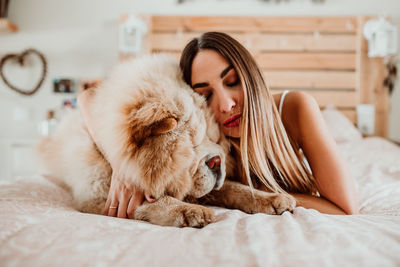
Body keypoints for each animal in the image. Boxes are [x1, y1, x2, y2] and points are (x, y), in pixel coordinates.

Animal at [38, 54, 294, 228]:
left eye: (214, 138)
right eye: (190, 147)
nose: (217, 162)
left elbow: (236, 188)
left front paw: (273, 198)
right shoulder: (98, 197)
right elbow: (152, 201)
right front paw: (190, 211)